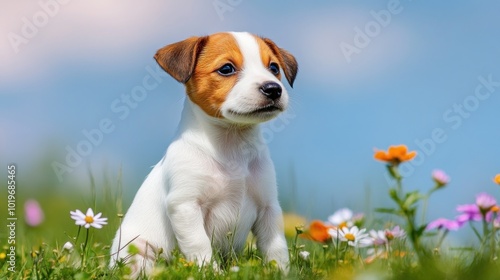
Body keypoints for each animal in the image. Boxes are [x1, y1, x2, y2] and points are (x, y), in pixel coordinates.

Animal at [110, 31, 296, 276]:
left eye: (274, 67)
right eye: (226, 69)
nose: (273, 88)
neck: (232, 145)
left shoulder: (268, 207)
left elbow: (276, 247)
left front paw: (281, 272)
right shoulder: (185, 205)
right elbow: (199, 244)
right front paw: (210, 271)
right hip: (138, 251)